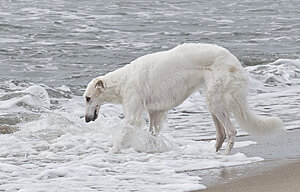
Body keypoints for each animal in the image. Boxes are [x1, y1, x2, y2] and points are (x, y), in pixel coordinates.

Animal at [83, 43, 282, 154]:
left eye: (87, 98)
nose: (86, 119)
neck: (123, 80)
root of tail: (237, 64)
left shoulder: (133, 114)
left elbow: (124, 132)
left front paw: (112, 151)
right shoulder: (156, 112)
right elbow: (152, 134)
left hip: (216, 101)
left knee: (231, 131)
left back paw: (225, 157)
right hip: (212, 102)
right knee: (222, 133)